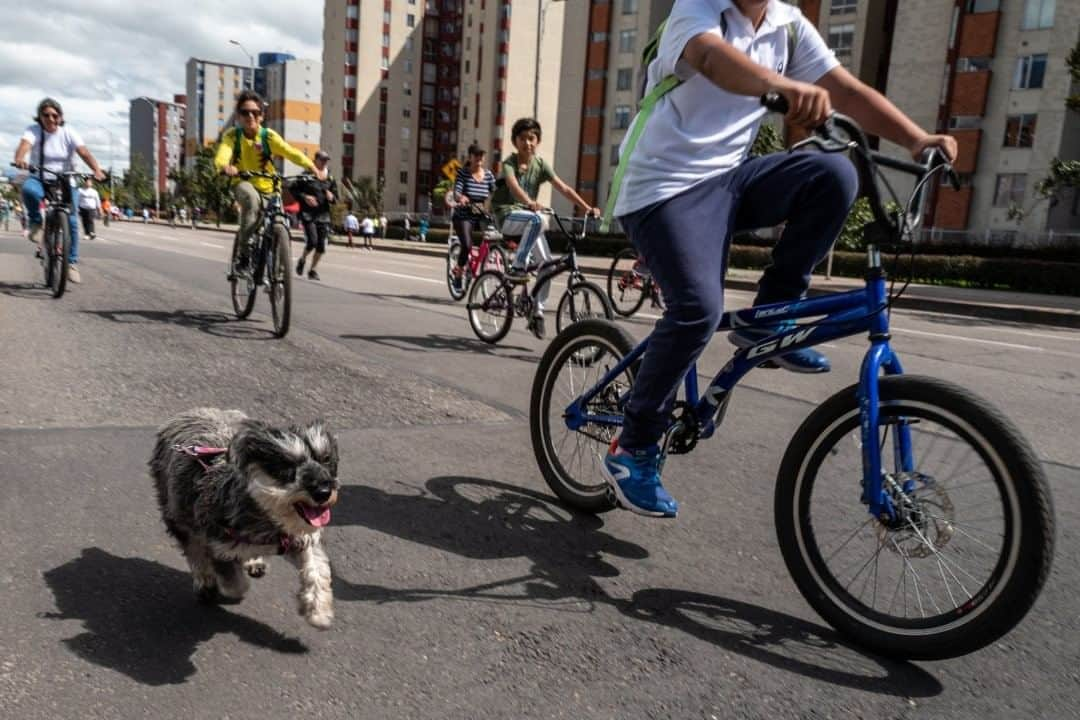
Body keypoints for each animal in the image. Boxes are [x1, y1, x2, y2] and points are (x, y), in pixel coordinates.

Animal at [150, 408, 339, 626]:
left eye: (326, 459)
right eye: (287, 466)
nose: (323, 492)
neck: (268, 518)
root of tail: (189, 413)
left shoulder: (302, 539)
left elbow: (317, 569)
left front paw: (318, 612)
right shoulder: (218, 545)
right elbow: (235, 583)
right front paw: (227, 585)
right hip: (176, 512)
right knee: (193, 551)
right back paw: (205, 582)